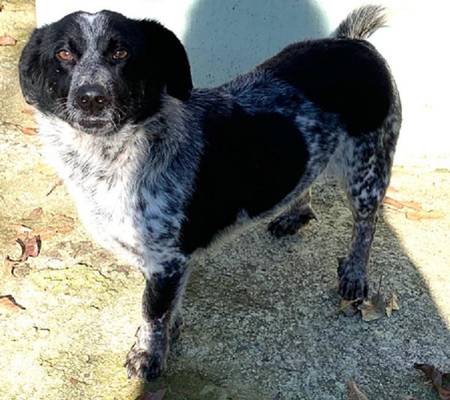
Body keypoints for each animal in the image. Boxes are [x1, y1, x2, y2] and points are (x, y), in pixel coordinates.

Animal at [19, 5, 401, 380]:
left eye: (121, 52)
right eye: (63, 53)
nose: (91, 98)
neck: (115, 156)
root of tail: (353, 42)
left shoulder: (166, 260)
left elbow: (152, 313)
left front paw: (148, 356)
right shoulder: (163, 260)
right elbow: (164, 307)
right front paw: (167, 335)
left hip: (368, 169)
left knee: (366, 225)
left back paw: (354, 274)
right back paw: (294, 214)